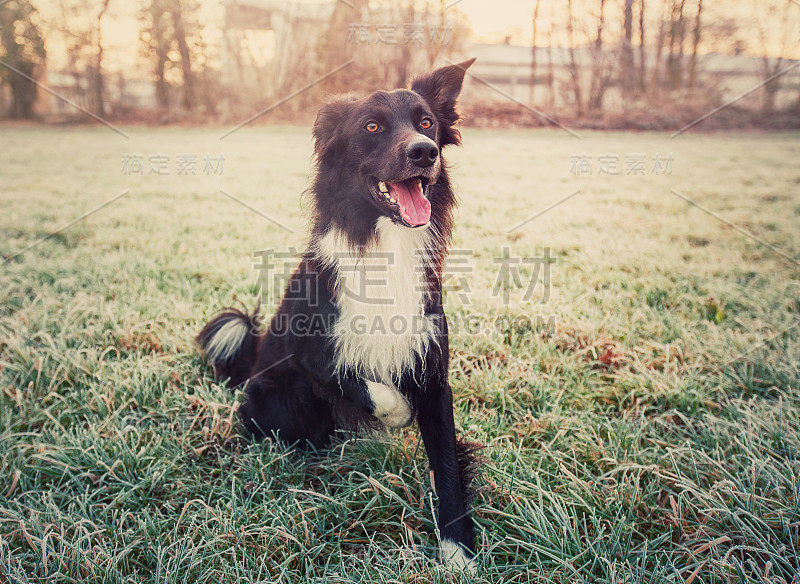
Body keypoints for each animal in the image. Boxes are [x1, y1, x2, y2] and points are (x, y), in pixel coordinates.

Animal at [197, 58, 478, 572]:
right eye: (372, 127)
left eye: (427, 122)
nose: (424, 151)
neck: (383, 242)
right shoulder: (309, 351)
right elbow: (362, 382)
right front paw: (396, 415)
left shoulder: (433, 371)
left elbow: (446, 463)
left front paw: (458, 549)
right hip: (283, 400)